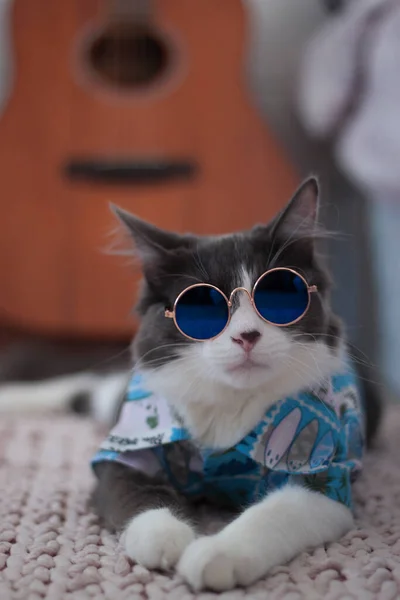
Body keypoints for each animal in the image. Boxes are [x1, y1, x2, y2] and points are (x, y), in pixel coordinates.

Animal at [90, 177, 382, 592]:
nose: (246, 336)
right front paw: (166, 537)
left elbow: (275, 512)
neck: (230, 405)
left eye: (279, 295)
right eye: (200, 306)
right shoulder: (126, 452)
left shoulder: (325, 474)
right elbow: (136, 494)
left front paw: (214, 554)